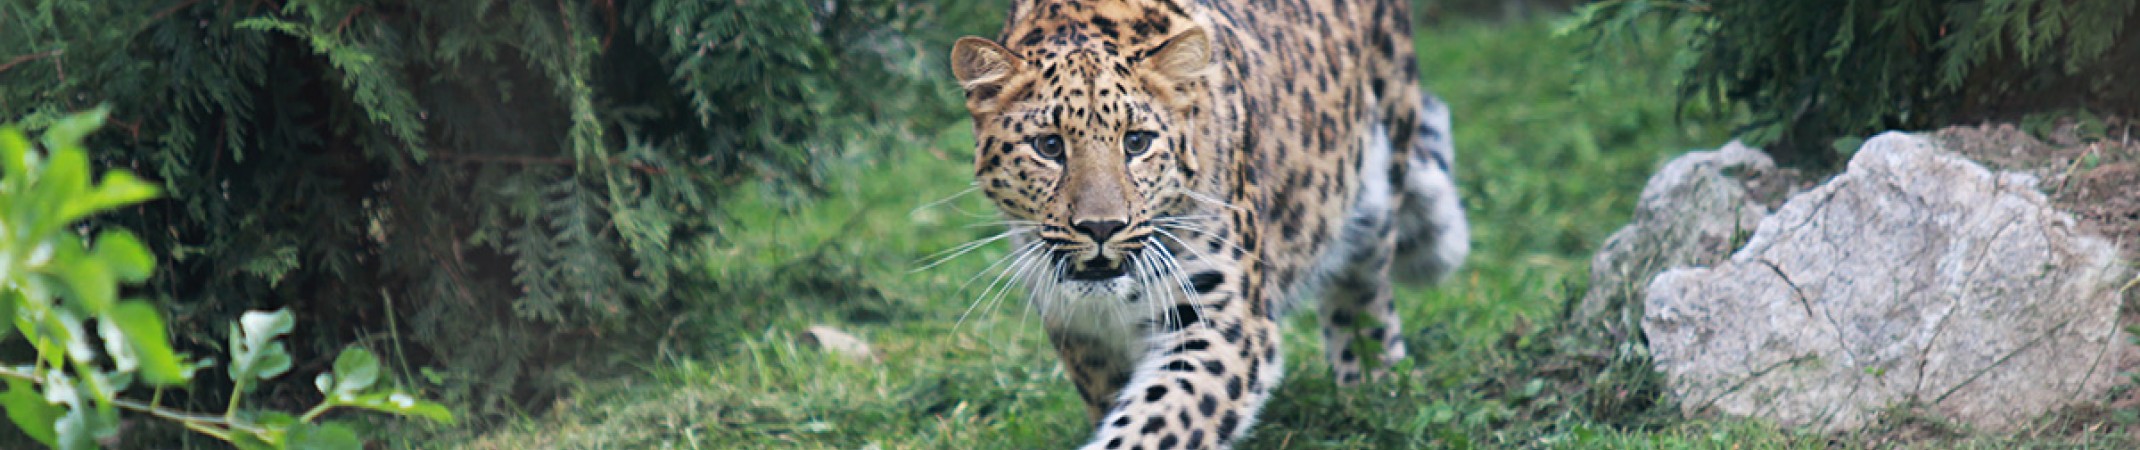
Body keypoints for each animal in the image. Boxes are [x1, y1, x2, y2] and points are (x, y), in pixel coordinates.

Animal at [954, 0, 1472, 445]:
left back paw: (1372, 385)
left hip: (1379, 177)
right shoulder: (1079, 332)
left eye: (1137, 142)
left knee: (1363, 292)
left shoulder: (1223, 324)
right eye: (1049, 146)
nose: (1101, 228)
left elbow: (1156, 420)